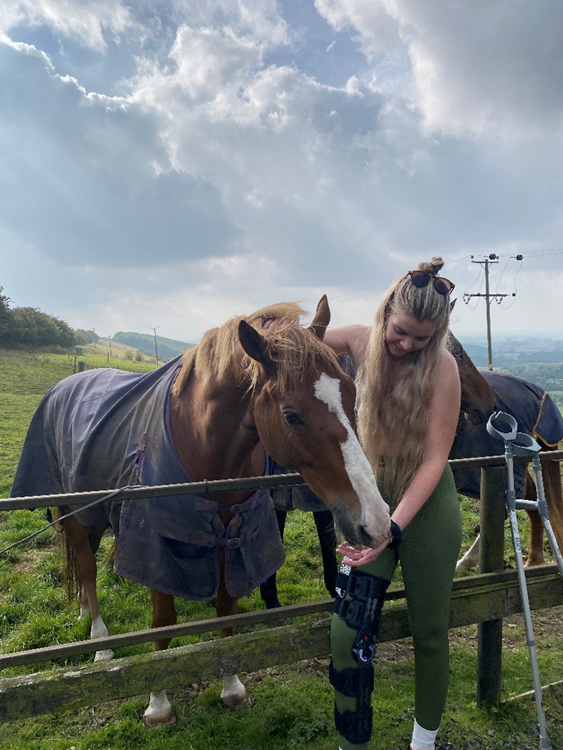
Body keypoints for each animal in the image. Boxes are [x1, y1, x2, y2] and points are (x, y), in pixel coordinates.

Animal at [10, 296, 391, 726]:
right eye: (292, 415)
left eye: (350, 394)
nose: (377, 520)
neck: (204, 444)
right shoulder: (157, 545)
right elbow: (162, 624)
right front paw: (158, 703)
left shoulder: (232, 536)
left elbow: (227, 610)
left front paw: (232, 686)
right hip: (73, 512)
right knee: (88, 570)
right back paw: (100, 640)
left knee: (83, 560)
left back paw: (81, 612)